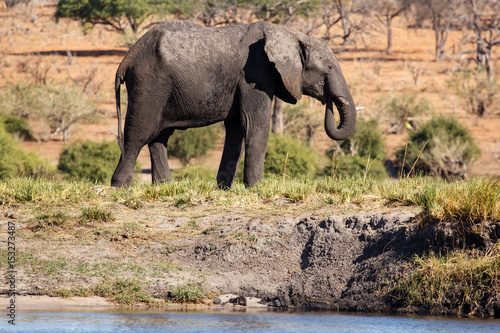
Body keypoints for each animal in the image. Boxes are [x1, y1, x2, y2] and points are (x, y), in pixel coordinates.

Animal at [111, 19, 358, 188]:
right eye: (328, 69)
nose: (328, 101)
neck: (289, 33)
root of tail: (127, 58)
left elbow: (236, 129)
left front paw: (223, 188)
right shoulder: (256, 74)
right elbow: (255, 124)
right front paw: (256, 188)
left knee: (159, 137)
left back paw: (166, 186)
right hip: (149, 82)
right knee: (138, 134)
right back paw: (120, 187)